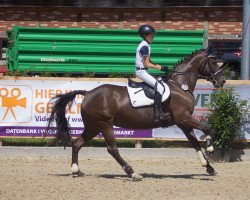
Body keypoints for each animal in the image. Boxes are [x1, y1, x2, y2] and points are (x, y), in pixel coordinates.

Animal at [46, 49, 226, 180]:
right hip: (105, 124)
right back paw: (132, 172)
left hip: (93, 126)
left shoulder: (182, 122)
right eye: (213, 61)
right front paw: (210, 147)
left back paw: (77, 171)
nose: (222, 81)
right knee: (112, 149)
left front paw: (209, 167)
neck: (180, 86)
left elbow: (194, 142)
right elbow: (207, 129)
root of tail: (88, 92)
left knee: (77, 143)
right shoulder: (183, 118)